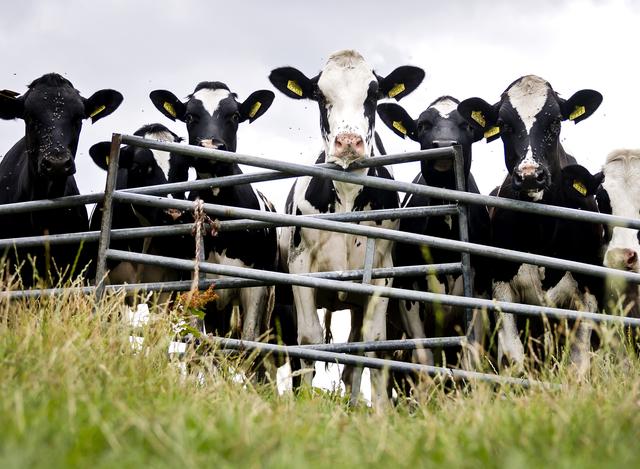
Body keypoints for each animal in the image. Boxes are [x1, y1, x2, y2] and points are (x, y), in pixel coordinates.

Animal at [149, 81, 278, 343]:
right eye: (189, 116)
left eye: (235, 116)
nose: (210, 145)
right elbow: (198, 339)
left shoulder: (255, 285)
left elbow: (248, 337)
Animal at [268, 49, 425, 407]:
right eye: (319, 94)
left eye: (373, 93)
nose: (349, 142)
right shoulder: (300, 267)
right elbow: (309, 338)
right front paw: (305, 403)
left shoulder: (382, 272)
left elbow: (375, 343)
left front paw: (380, 411)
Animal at [376, 96, 490, 370]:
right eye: (422, 125)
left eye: (468, 125)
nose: (445, 145)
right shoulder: (408, 289)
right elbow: (423, 356)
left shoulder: (480, 288)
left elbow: (471, 354)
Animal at [458, 75, 603, 374]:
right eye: (504, 125)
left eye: (556, 121)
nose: (529, 176)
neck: (543, 231)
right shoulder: (502, 286)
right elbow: (513, 357)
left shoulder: (588, 291)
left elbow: (578, 364)